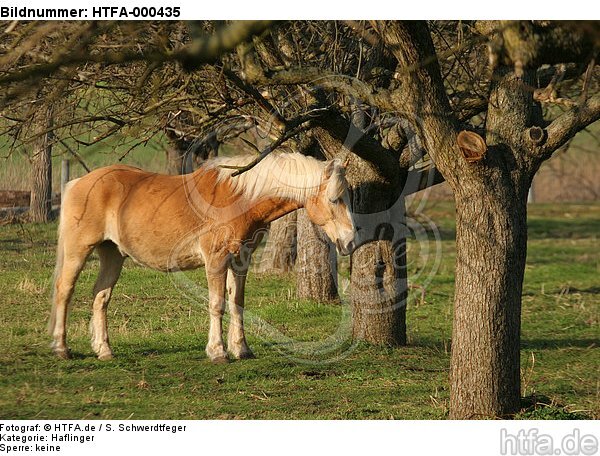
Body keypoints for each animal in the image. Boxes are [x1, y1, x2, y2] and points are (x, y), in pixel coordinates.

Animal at [49, 152, 356, 364]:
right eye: (334, 199)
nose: (350, 241)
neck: (239, 198)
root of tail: (78, 182)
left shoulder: (240, 259)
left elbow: (237, 303)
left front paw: (241, 349)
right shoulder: (216, 260)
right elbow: (217, 304)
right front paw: (218, 352)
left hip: (112, 254)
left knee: (100, 297)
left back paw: (104, 350)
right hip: (79, 250)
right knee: (65, 291)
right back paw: (61, 348)